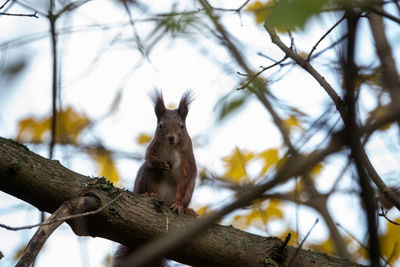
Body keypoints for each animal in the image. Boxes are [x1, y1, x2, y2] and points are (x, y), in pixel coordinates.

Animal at [112, 90, 197, 267]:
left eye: (182, 126)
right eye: (160, 126)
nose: (171, 138)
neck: (171, 148)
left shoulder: (186, 161)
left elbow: (184, 179)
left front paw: (177, 205)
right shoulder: (153, 147)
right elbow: (149, 158)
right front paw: (159, 163)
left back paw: (187, 210)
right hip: (147, 176)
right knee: (151, 175)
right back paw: (150, 195)